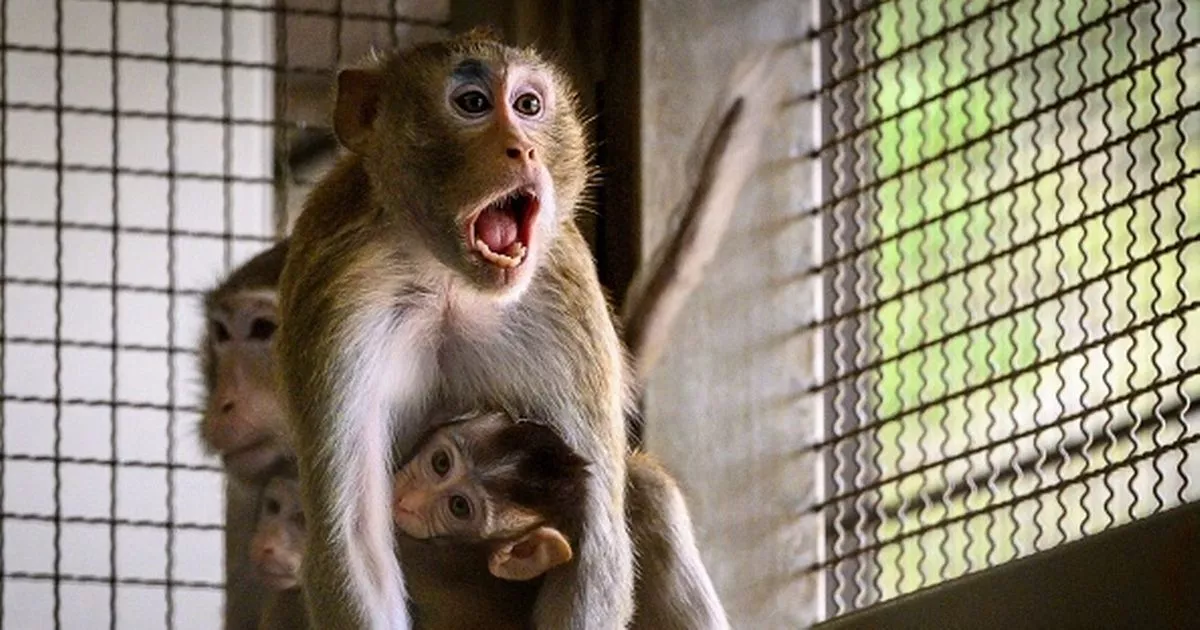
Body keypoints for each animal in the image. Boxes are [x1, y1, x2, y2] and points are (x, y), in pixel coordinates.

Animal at [275, 31, 632, 629]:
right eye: (472, 103)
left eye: (528, 105)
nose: (524, 148)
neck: (451, 282)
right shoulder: (341, 294)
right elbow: (354, 537)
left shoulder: (565, 298)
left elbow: (595, 542)